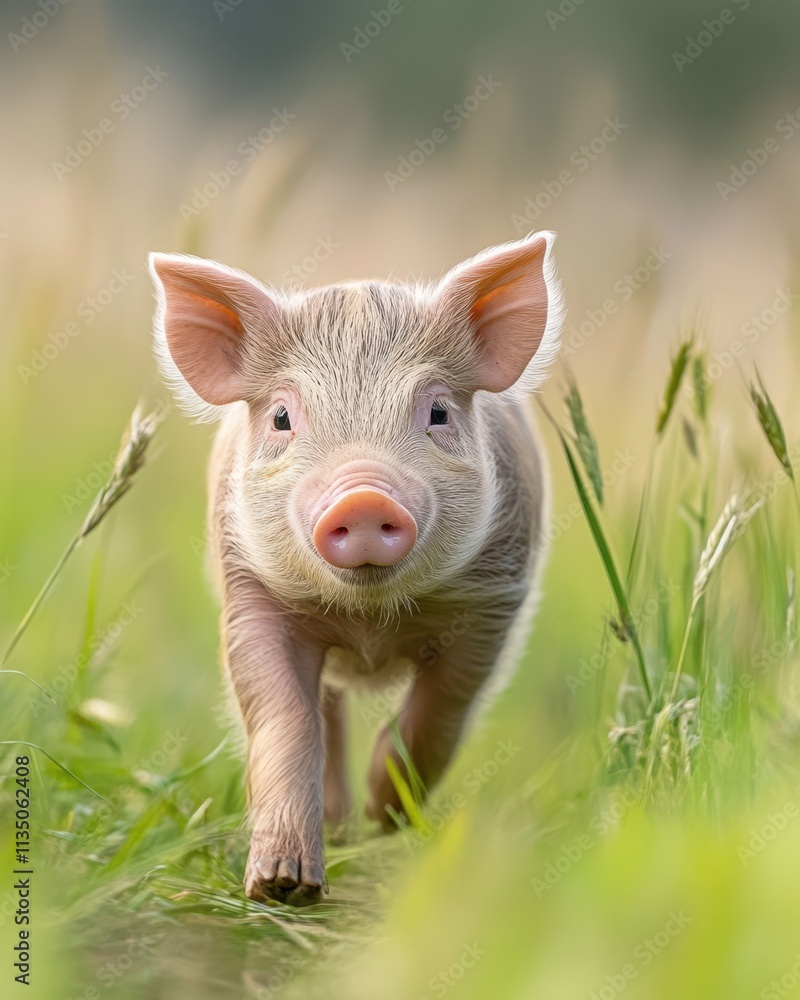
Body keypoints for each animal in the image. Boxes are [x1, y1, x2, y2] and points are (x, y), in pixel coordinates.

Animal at [148, 230, 564, 906]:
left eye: (439, 412)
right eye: (282, 417)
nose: (363, 498)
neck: (371, 627)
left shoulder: (493, 600)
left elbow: (442, 705)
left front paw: (387, 817)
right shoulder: (251, 594)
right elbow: (286, 717)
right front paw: (281, 887)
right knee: (329, 709)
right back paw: (336, 830)